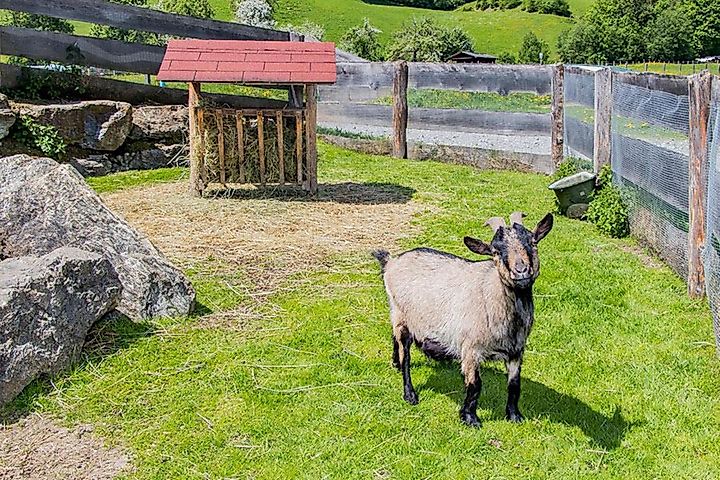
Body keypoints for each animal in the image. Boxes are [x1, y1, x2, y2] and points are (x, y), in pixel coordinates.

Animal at [373, 211, 553, 427]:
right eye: (495, 251)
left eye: (533, 242)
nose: (521, 271)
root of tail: (391, 261)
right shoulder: (470, 349)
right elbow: (475, 385)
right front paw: (470, 418)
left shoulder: (516, 351)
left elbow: (514, 384)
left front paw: (514, 416)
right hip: (403, 316)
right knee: (405, 354)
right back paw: (410, 394)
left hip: (397, 314)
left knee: (395, 340)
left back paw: (396, 364)